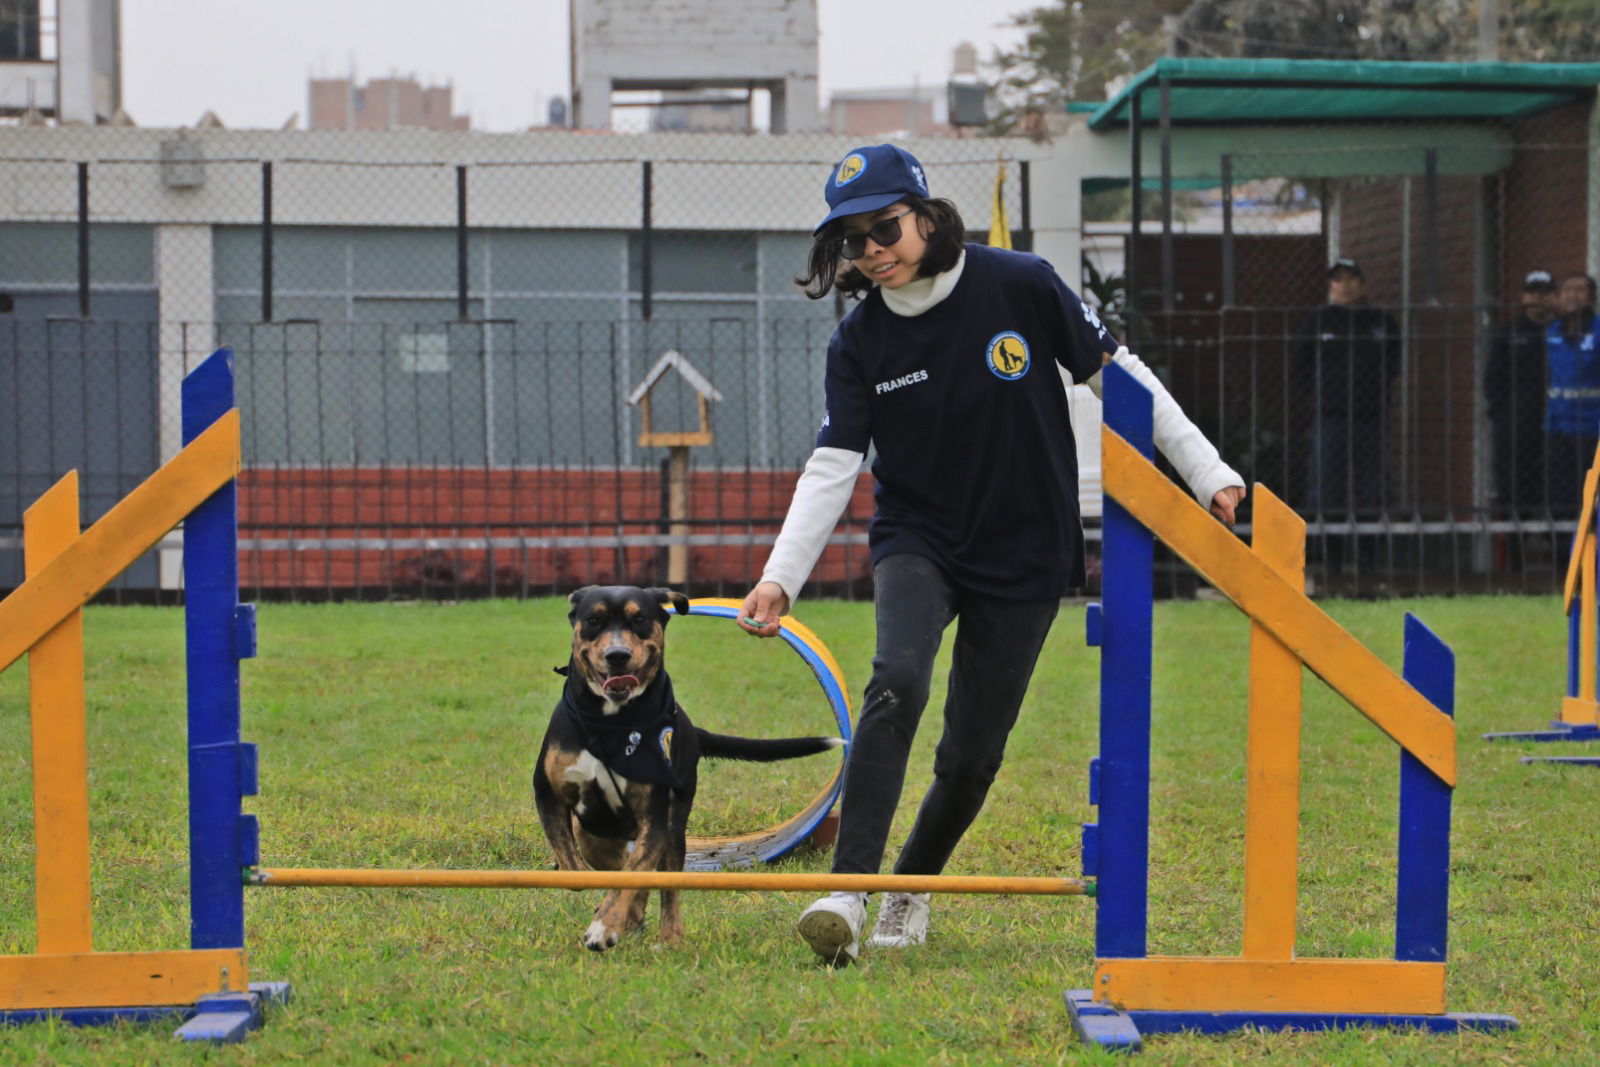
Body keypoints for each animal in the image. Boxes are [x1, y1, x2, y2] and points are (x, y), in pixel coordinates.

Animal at [534, 588, 844, 953]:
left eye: (640, 619)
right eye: (594, 620)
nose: (617, 655)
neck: (610, 723)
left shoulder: (654, 818)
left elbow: (634, 873)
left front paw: (605, 925)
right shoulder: (549, 795)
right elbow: (575, 868)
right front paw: (609, 912)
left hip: (673, 825)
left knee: (664, 882)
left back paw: (667, 937)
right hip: (596, 833)